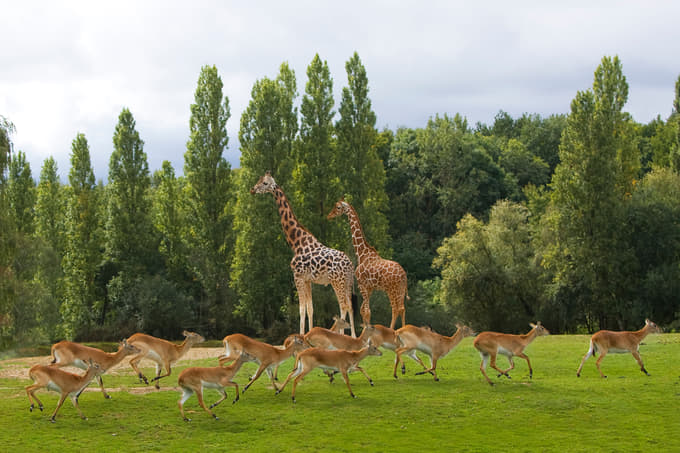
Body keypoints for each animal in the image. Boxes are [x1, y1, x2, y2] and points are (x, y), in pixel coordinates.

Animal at [251, 172, 357, 337]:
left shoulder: (298, 277)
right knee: (350, 306)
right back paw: (353, 337)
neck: (296, 243)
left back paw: (340, 336)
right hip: (347, 283)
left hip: (336, 282)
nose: (253, 189)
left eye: (265, 183)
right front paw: (309, 334)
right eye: (260, 180)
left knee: (344, 306)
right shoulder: (308, 280)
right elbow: (310, 309)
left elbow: (301, 309)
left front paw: (301, 336)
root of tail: (350, 266)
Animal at [327, 197, 408, 329]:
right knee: (402, 308)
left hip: (391, 290)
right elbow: (363, 310)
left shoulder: (362, 285)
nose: (329, 215)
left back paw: (392, 330)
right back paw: (403, 329)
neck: (362, 253)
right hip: (400, 290)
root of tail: (404, 275)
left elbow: (366, 311)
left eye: (338, 207)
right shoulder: (369, 288)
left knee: (395, 309)